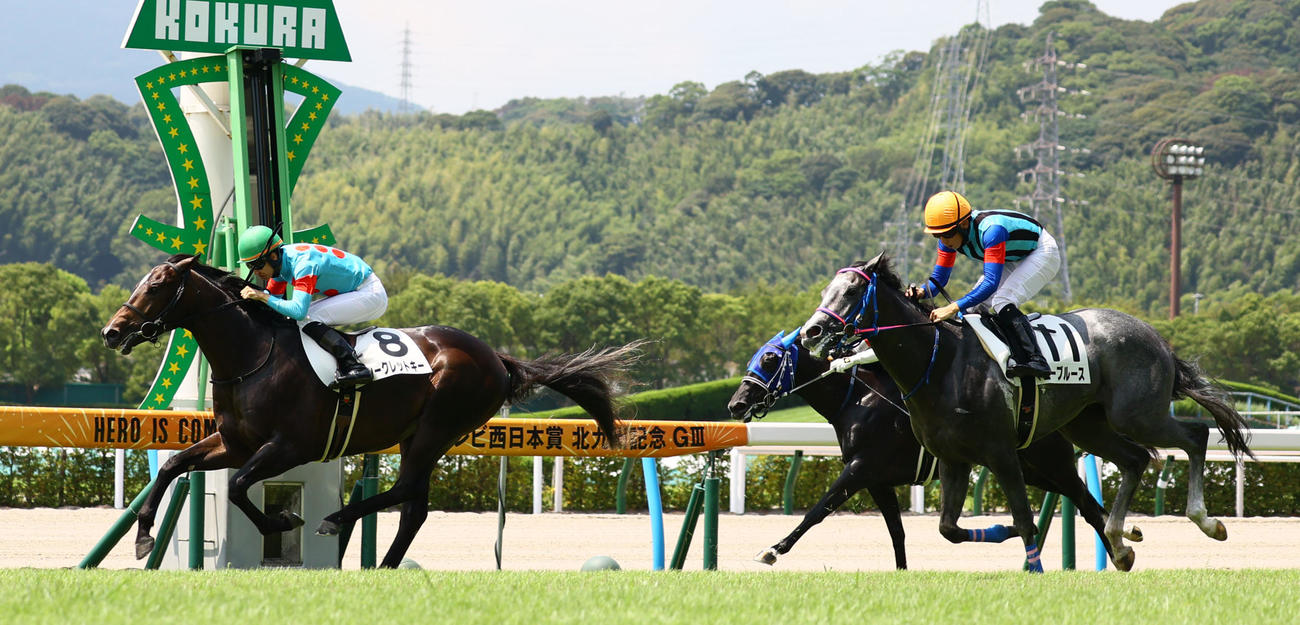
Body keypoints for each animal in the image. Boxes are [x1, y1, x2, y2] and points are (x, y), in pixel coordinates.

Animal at [101, 254, 640, 568]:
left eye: (156, 286)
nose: (112, 331)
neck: (253, 354)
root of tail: (497, 357)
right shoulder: (236, 442)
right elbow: (174, 465)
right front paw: (144, 537)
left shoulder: (290, 446)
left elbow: (237, 487)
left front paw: (283, 523)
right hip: (421, 434)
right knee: (415, 505)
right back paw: (382, 564)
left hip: (436, 428)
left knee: (407, 492)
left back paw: (337, 519)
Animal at [728, 330, 1151, 569]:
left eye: (770, 358)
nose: (735, 404)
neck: (857, 401)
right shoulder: (877, 480)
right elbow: (896, 532)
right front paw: (902, 571)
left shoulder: (860, 468)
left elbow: (818, 510)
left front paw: (773, 550)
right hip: (1034, 472)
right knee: (1085, 504)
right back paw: (1124, 539)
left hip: (1049, 463)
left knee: (1087, 504)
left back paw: (1120, 547)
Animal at [798, 254, 1253, 571]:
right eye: (824, 292)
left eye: (852, 292)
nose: (811, 332)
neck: (939, 364)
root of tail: (1156, 335)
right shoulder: (952, 459)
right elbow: (950, 528)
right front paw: (1003, 532)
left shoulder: (1001, 453)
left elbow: (1022, 516)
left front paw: (1033, 567)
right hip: (1088, 426)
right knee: (1135, 460)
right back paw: (1121, 543)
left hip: (1137, 414)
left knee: (1195, 436)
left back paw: (1204, 521)